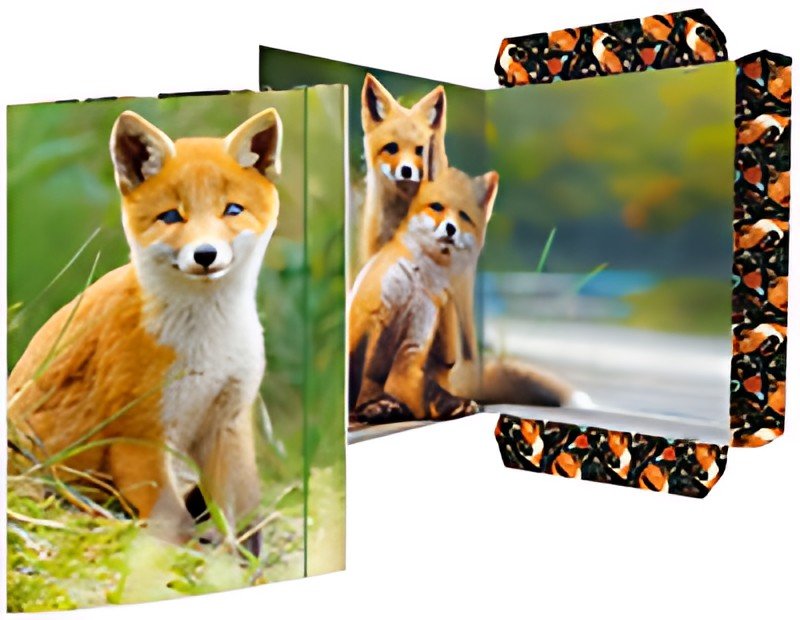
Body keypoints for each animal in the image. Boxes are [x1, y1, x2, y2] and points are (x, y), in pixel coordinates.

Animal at [7, 108, 282, 553]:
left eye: (232, 210)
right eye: (171, 216)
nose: (205, 255)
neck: (206, 346)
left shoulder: (228, 420)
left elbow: (235, 515)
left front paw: (238, 558)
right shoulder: (138, 433)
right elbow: (172, 522)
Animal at [349, 166, 497, 422]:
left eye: (464, 216)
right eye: (436, 207)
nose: (451, 228)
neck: (416, 284)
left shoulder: (413, 344)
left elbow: (426, 389)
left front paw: (455, 404)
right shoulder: (368, 316)